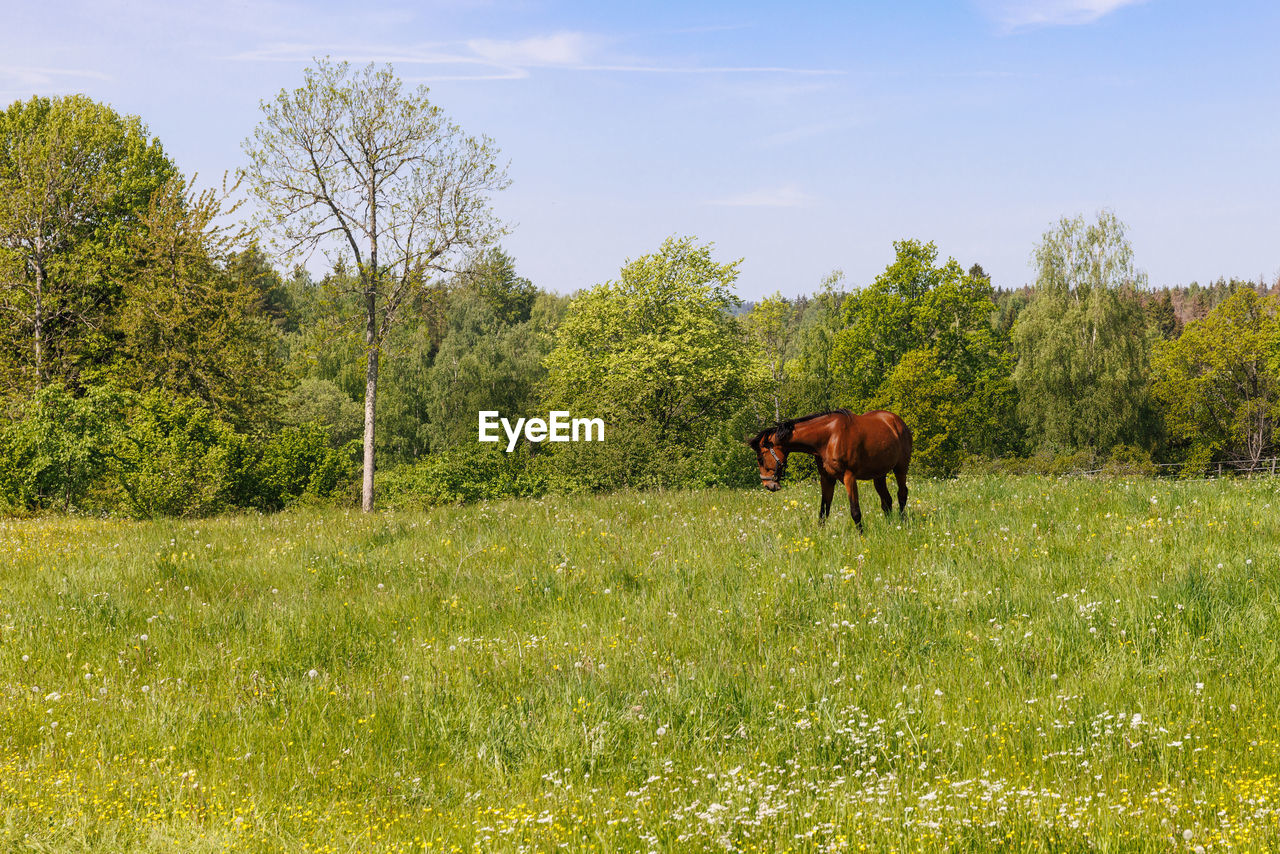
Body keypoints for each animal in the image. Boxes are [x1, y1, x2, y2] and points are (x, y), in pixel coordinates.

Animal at [747, 409, 916, 530]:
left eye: (760, 458)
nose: (768, 485)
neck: (828, 438)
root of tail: (897, 421)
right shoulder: (827, 478)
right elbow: (824, 510)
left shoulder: (849, 477)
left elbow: (855, 511)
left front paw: (861, 537)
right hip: (879, 475)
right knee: (887, 500)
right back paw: (890, 525)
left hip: (900, 468)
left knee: (902, 494)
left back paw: (902, 523)